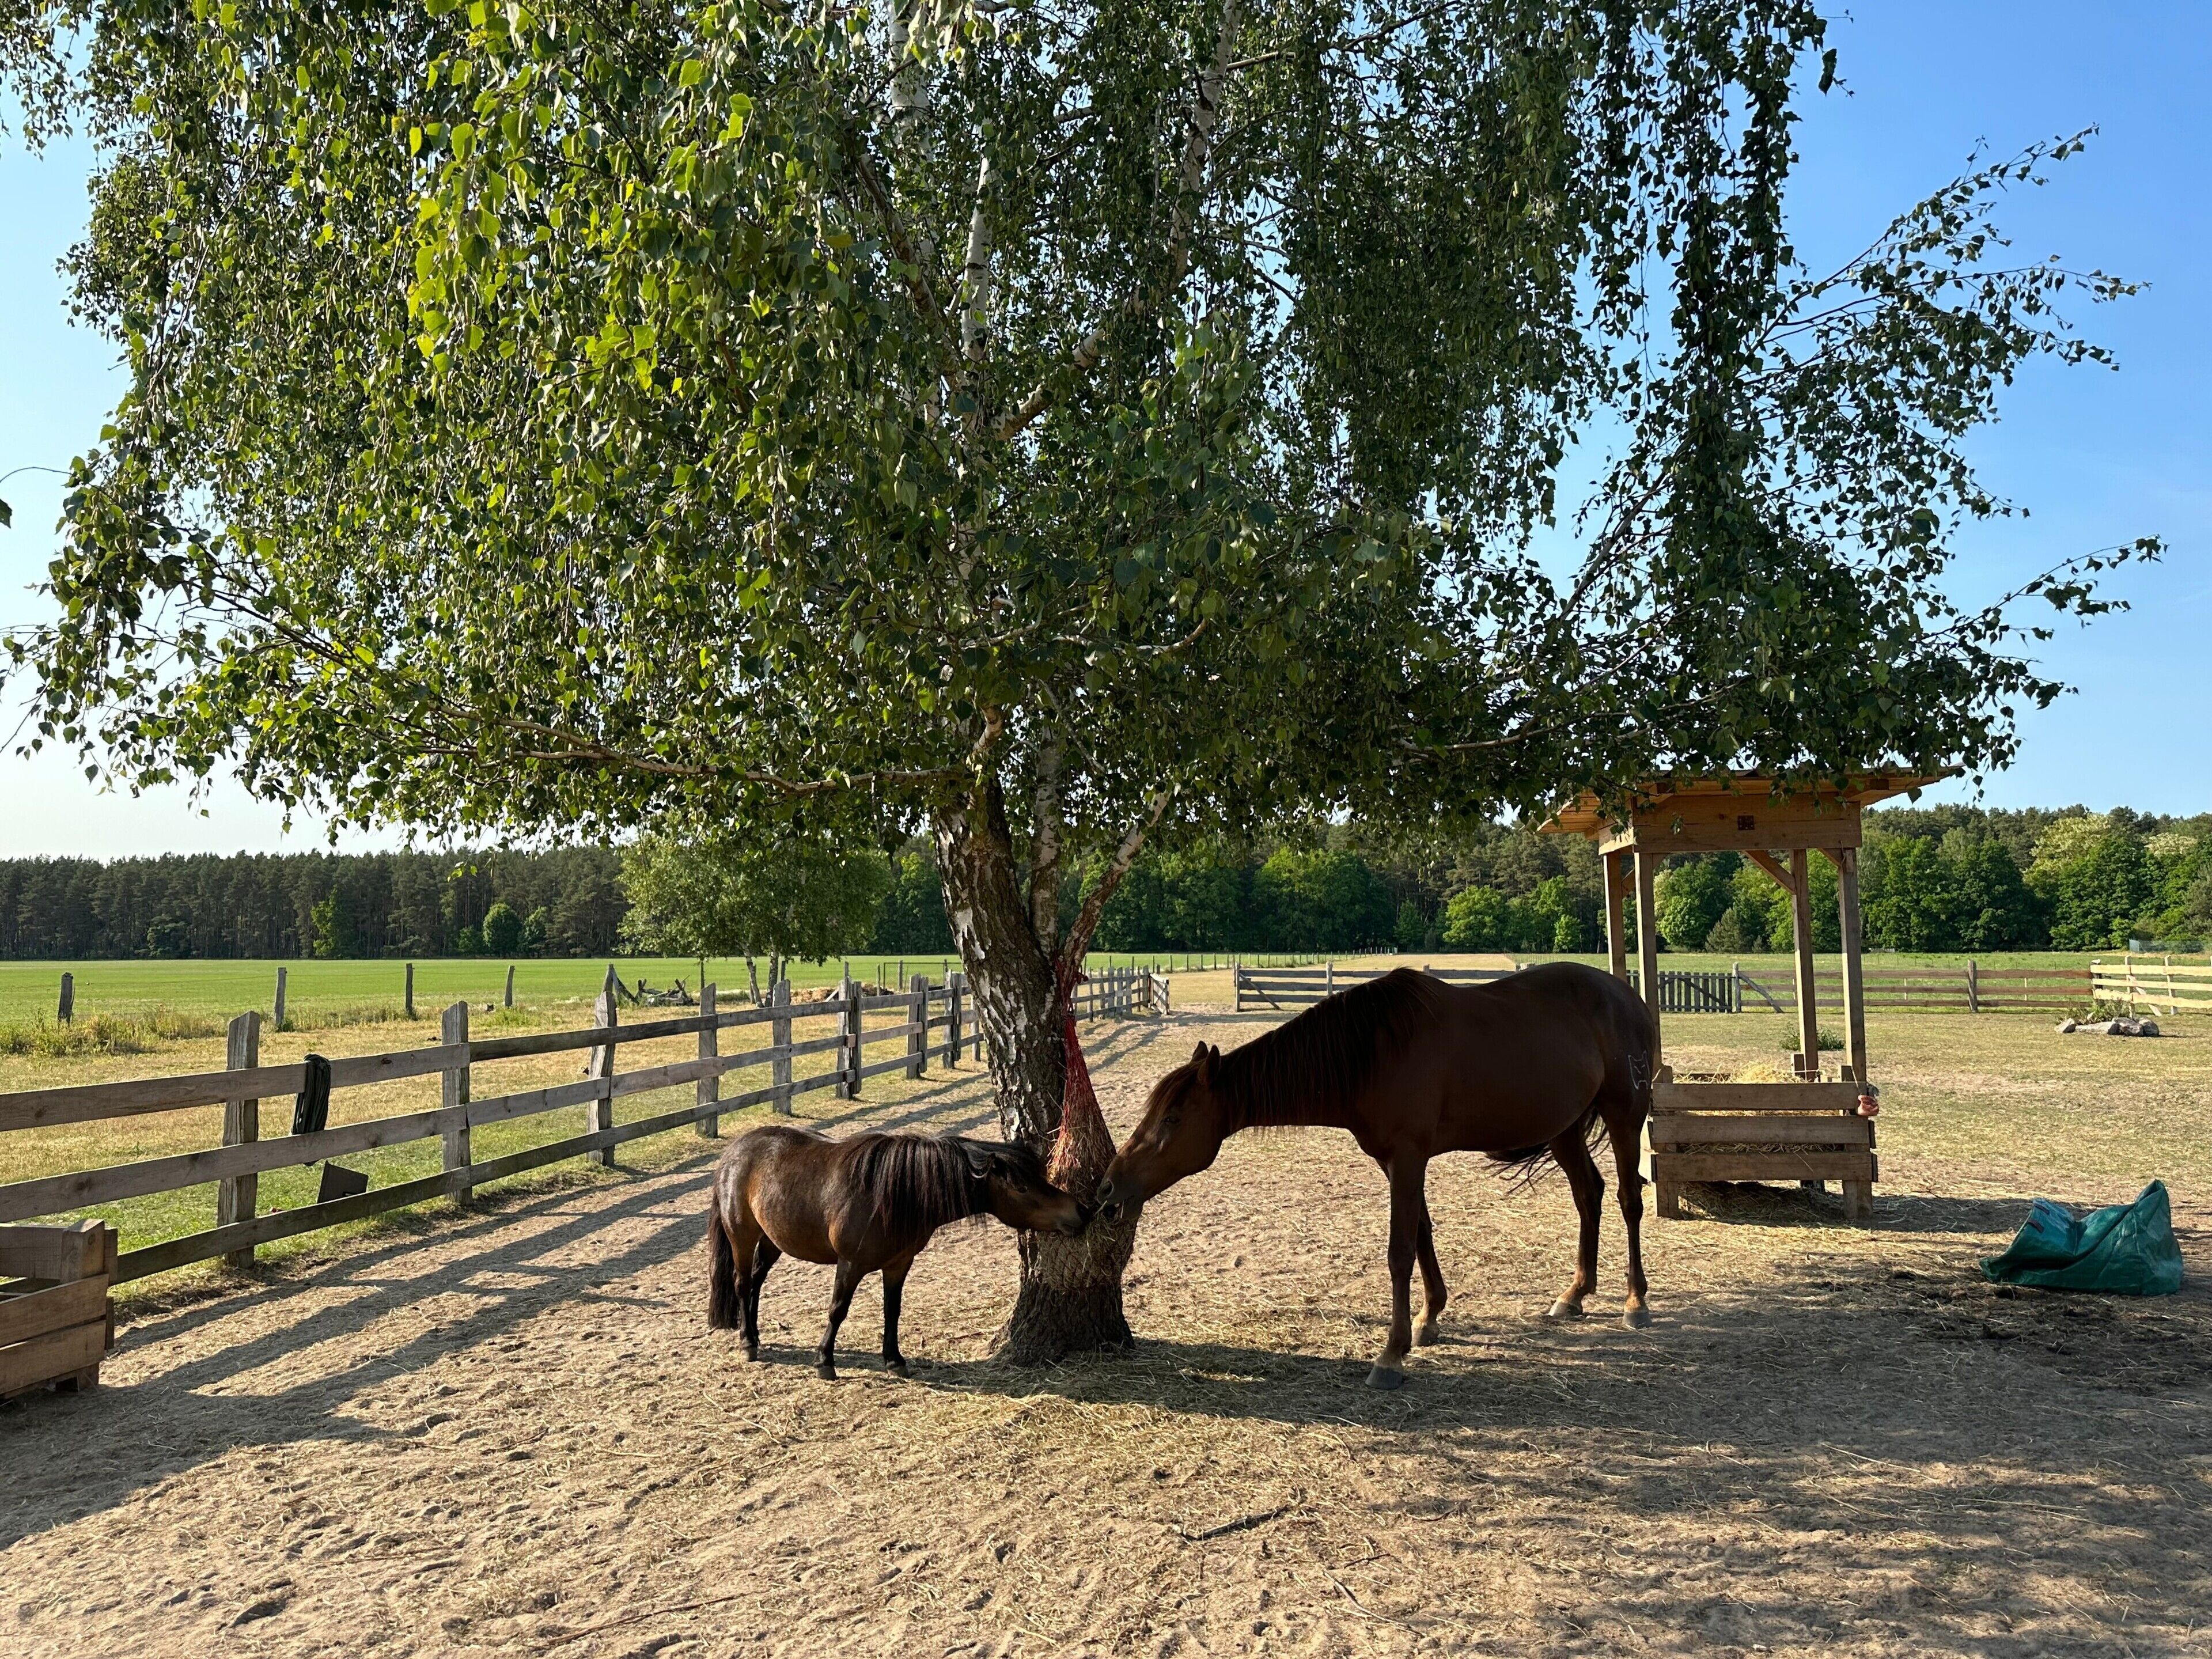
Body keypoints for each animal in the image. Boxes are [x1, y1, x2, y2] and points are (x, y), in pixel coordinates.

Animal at [707, 1124, 1087, 1379]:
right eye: (1021, 1187)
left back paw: (754, 1334)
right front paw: (825, 1362)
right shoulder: (850, 1265)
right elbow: (838, 1311)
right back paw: (747, 1343)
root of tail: (734, 1152)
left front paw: (894, 1360)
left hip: (774, 1239)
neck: (891, 1195)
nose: (1081, 1210)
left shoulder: (899, 1264)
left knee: (757, 1282)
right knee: (743, 1283)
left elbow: (893, 1311)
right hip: (743, 1235)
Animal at [1093, 963, 1657, 1389]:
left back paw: (1636, 1303)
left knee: (1629, 1199)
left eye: (1172, 1119)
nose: (1108, 1187)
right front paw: (1429, 1320)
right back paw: (1575, 1295)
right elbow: (1423, 1234)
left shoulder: (1408, 1158)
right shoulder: (1398, 1162)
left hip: (1625, 1114)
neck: (1372, 1052)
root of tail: (1626, 995)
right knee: (1588, 1194)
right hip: (1563, 1128)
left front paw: (1391, 1354)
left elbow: (1399, 1251)